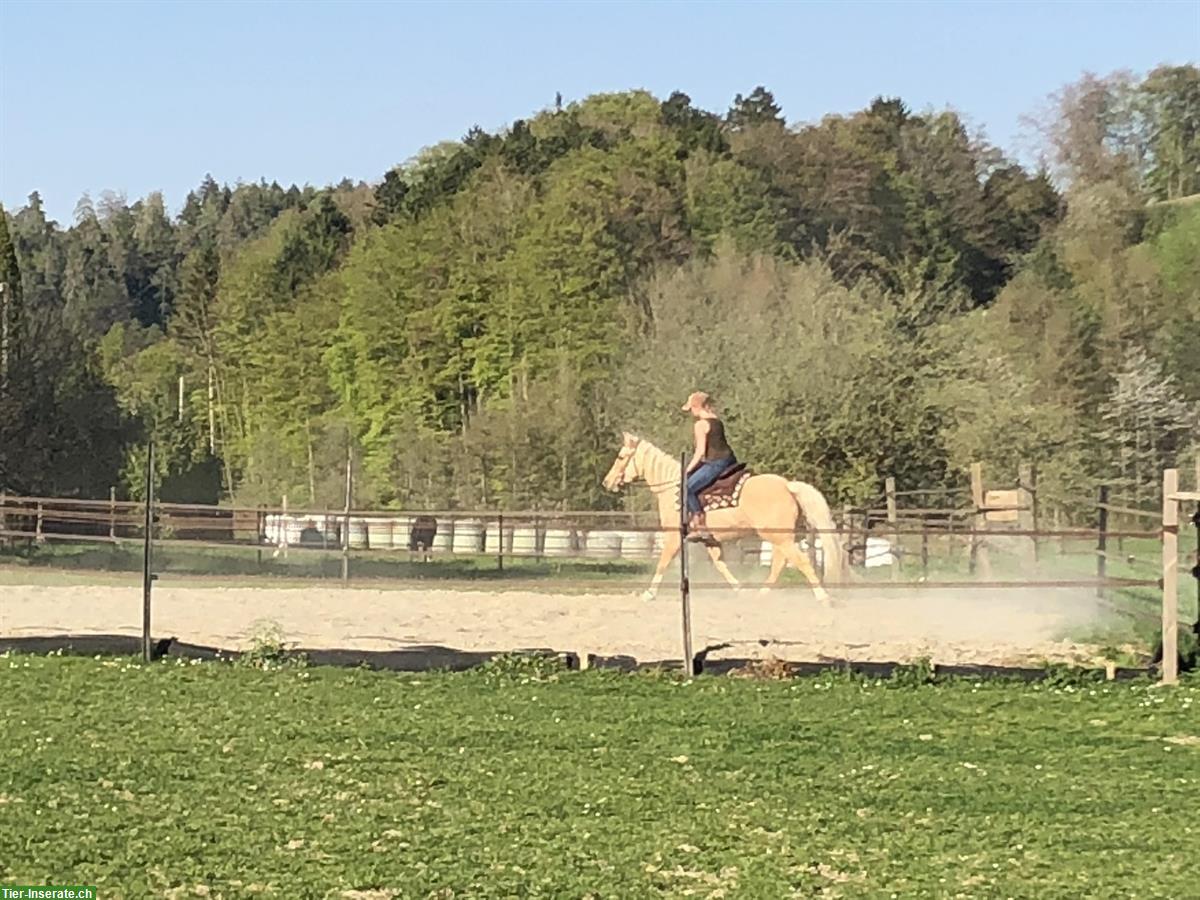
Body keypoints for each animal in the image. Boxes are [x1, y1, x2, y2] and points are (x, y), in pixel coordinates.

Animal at [600, 432, 844, 602]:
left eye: (621, 456)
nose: (607, 482)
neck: (674, 489)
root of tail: (787, 485)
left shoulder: (673, 537)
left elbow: (663, 562)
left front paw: (649, 594)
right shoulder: (710, 539)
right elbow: (720, 565)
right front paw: (739, 589)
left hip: (778, 536)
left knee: (799, 560)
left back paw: (823, 597)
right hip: (779, 536)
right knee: (780, 562)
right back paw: (761, 594)